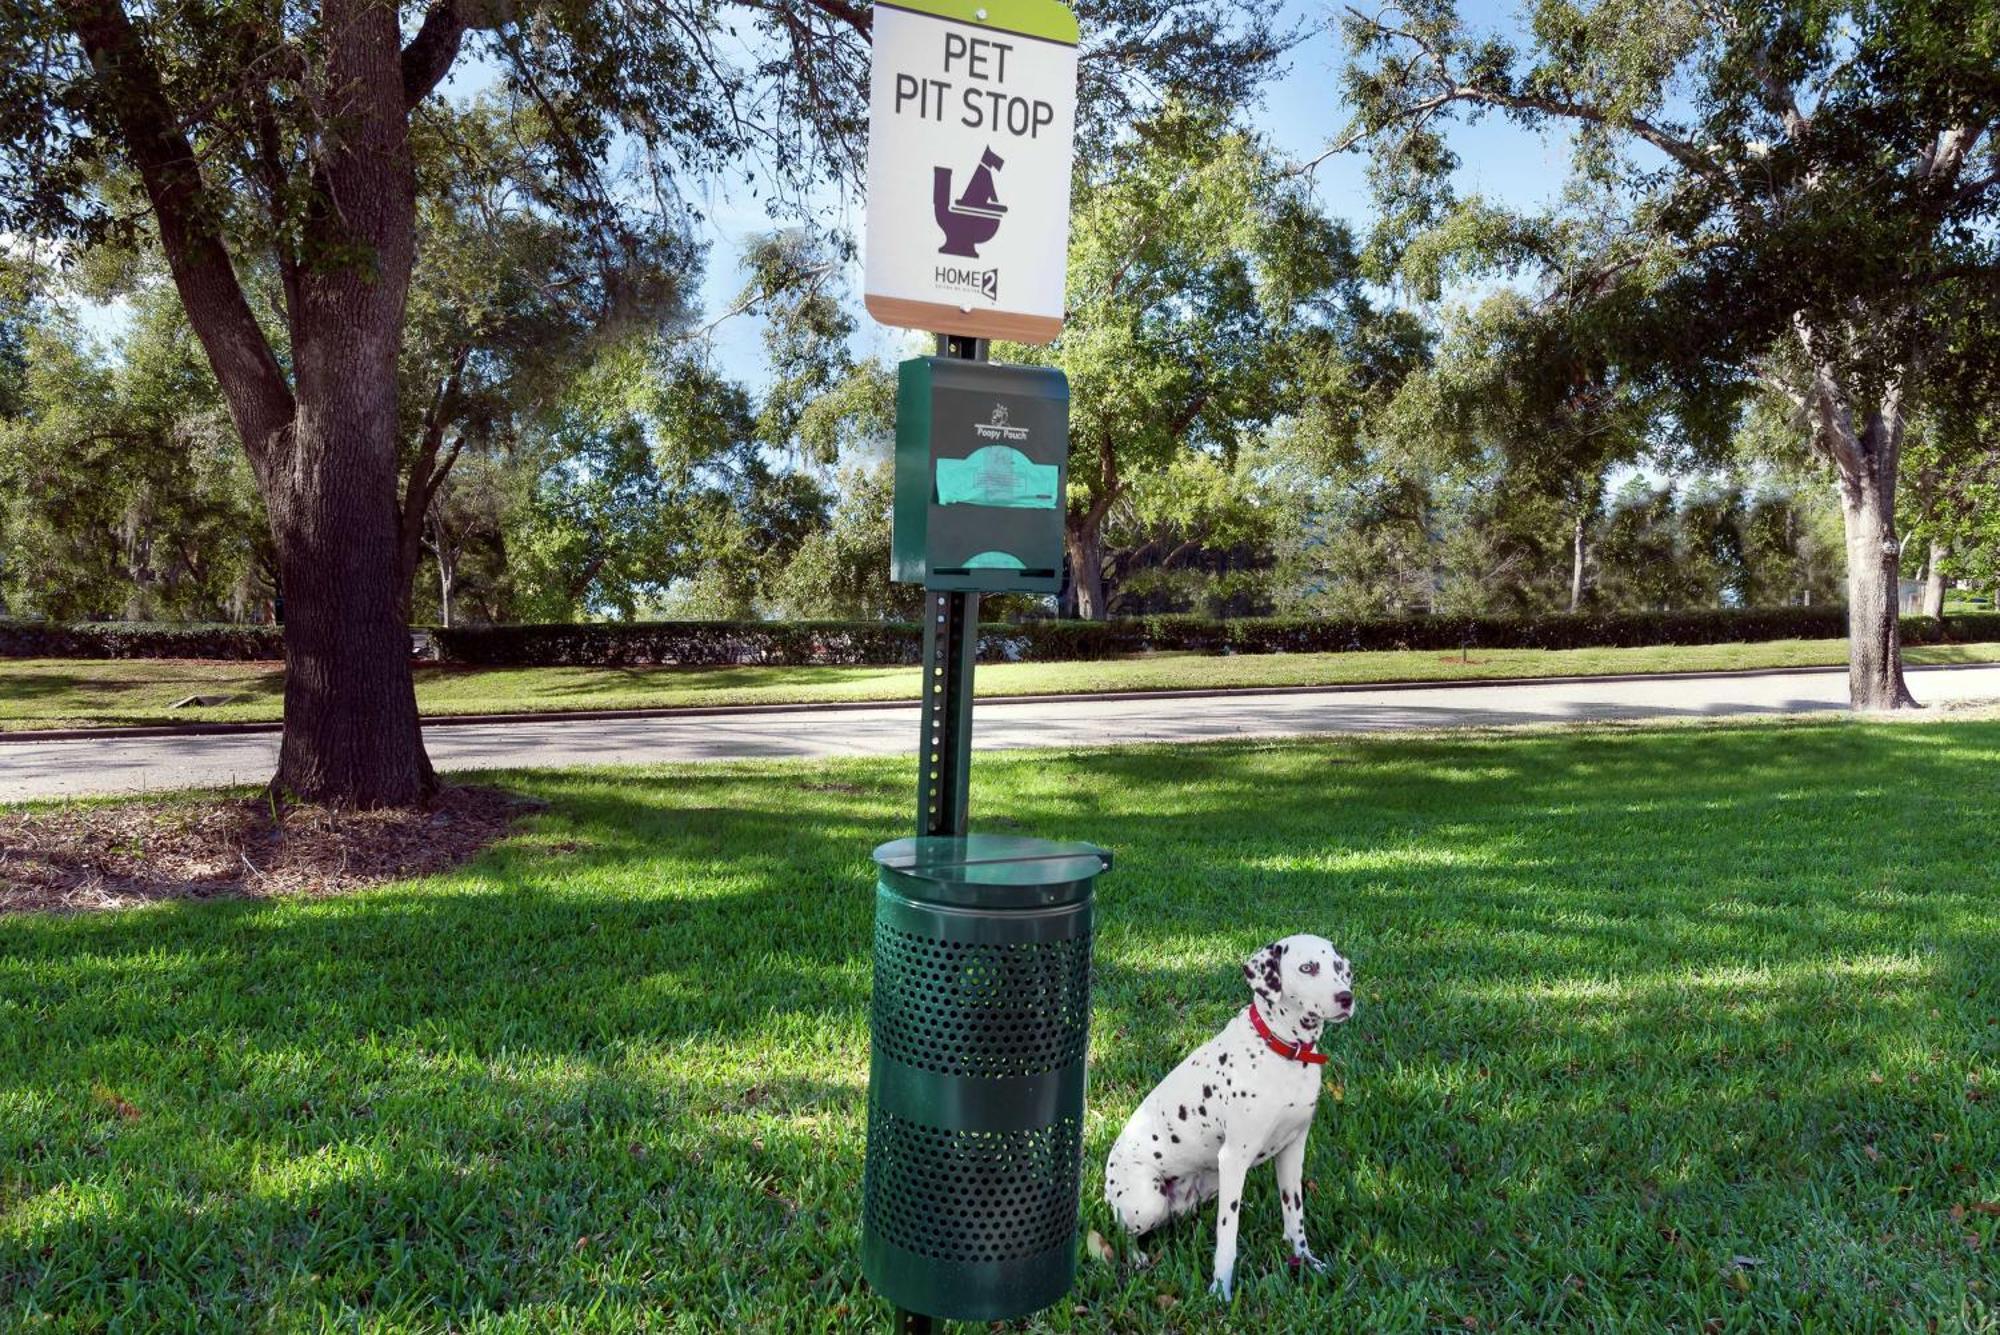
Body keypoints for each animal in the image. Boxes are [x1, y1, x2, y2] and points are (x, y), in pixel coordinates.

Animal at [1104, 935, 1352, 1295]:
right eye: (1308, 968)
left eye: (1337, 968)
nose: (1346, 997)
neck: (1282, 1054)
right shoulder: (1234, 1158)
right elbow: (1227, 1235)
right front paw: (1221, 1289)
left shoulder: (1293, 1150)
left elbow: (1295, 1216)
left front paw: (1305, 1260)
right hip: (1148, 1201)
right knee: (1123, 1231)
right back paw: (1136, 1257)